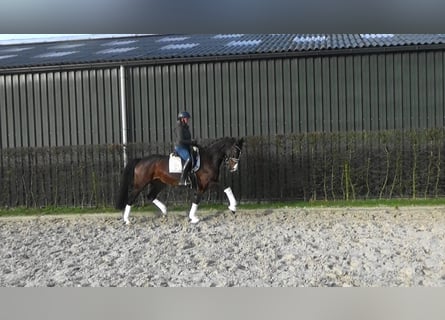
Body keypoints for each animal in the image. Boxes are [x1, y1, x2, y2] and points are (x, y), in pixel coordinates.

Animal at [115, 136, 243, 224]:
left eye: (240, 152)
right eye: (235, 151)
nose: (234, 168)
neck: (209, 159)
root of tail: (141, 160)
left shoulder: (211, 182)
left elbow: (226, 187)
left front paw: (233, 207)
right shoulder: (204, 185)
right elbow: (197, 200)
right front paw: (193, 218)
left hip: (159, 183)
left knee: (151, 196)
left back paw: (165, 211)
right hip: (140, 184)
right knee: (131, 198)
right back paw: (127, 220)